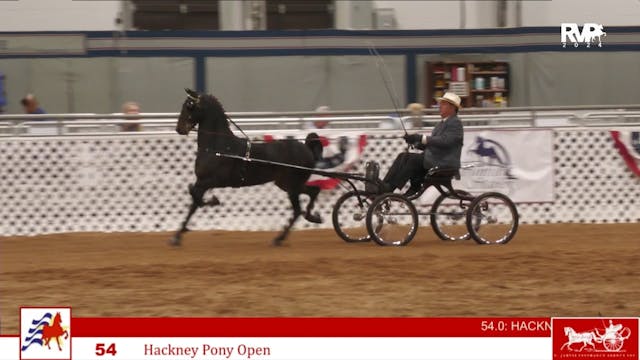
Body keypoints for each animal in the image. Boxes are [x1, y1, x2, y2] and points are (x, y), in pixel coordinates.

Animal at [172, 89, 322, 246]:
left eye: (189, 105)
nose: (179, 128)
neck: (218, 147)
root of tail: (306, 147)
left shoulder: (213, 181)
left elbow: (195, 196)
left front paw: (213, 201)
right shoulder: (201, 182)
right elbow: (193, 201)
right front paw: (178, 235)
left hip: (292, 186)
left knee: (298, 209)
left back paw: (280, 238)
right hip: (287, 184)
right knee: (313, 191)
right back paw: (312, 216)